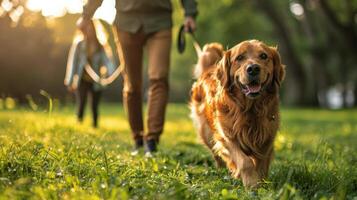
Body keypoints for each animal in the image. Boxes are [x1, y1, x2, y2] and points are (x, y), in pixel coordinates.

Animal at [191, 39, 286, 188]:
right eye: (240, 58)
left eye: (264, 56)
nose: (253, 68)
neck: (250, 109)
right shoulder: (228, 137)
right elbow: (245, 162)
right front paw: (251, 183)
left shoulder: (267, 137)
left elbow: (261, 163)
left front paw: (260, 182)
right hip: (206, 132)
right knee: (216, 154)